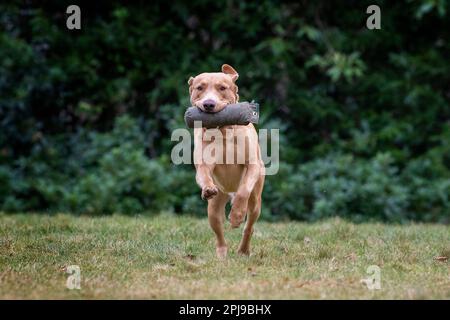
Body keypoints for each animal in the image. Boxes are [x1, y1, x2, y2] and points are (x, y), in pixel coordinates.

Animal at [188, 63, 266, 258]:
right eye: (200, 88)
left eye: (222, 88)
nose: (209, 104)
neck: (223, 131)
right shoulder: (204, 163)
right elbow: (204, 173)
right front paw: (208, 188)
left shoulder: (252, 165)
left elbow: (244, 189)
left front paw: (237, 215)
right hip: (214, 207)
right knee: (218, 232)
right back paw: (222, 254)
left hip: (256, 202)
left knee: (249, 225)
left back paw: (243, 250)